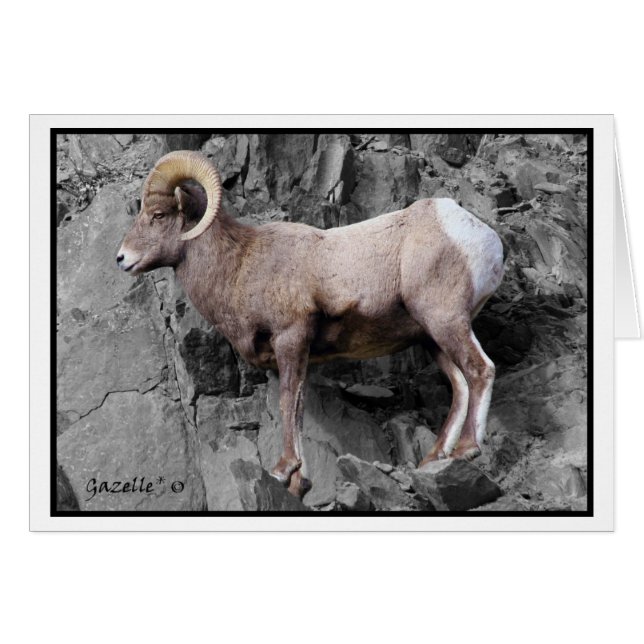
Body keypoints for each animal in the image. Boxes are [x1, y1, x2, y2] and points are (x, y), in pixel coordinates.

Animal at [117, 149, 504, 497]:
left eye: (158, 214)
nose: (122, 259)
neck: (240, 266)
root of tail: (483, 237)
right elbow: (299, 407)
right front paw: (297, 482)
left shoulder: (291, 338)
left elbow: (289, 401)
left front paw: (282, 470)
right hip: (430, 338)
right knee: (460, 385)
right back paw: (433, 459)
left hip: (444, 320)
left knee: (480, 370)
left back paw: (466, 449)